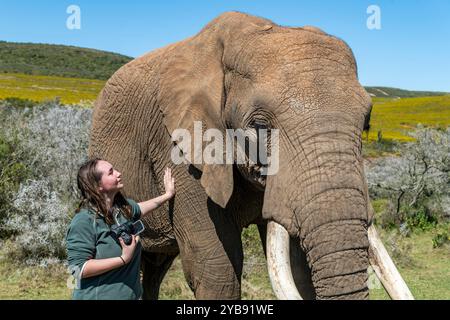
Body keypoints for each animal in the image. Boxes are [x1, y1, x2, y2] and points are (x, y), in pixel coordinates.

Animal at [89, 10, 414, 300]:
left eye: (367, 123)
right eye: (258, 127)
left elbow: (299, 267)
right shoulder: (176, 146)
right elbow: (217, 271)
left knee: (155, 268)